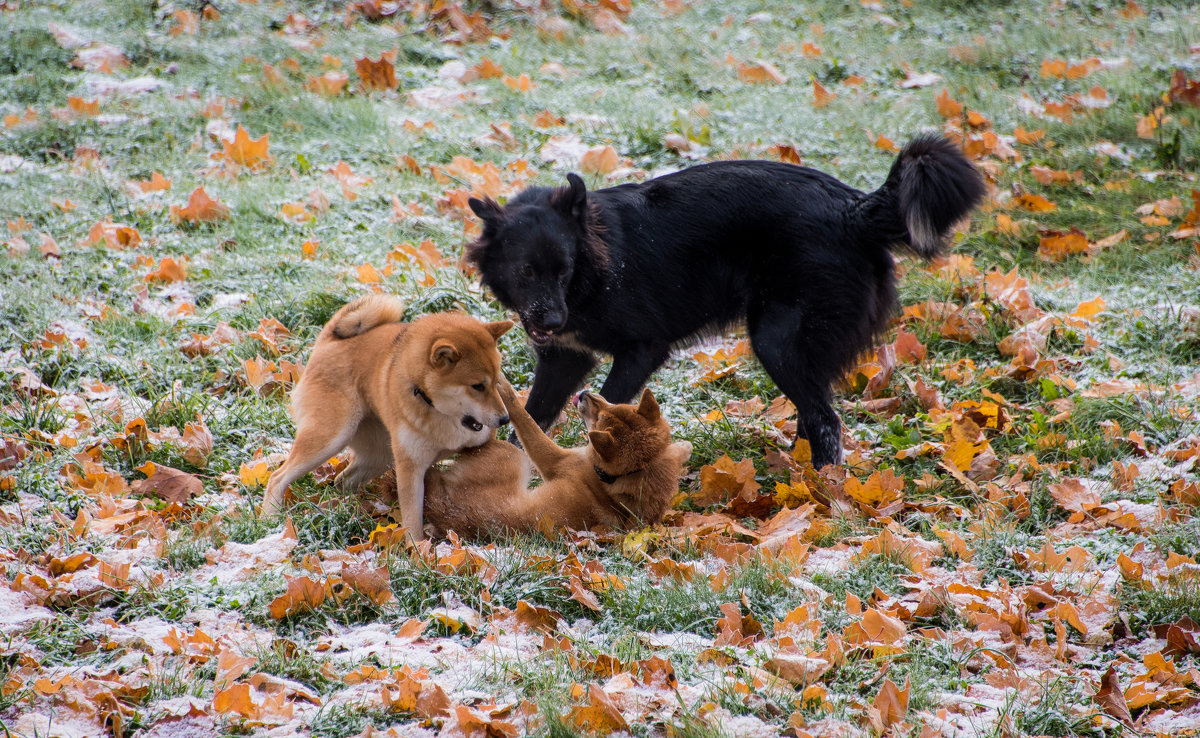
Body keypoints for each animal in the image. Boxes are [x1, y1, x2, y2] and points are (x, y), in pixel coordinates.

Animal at [265, 294, 513, 542]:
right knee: (277, 478)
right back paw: (272, 520)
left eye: (496, 380)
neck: (441, 414)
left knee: (343, 480)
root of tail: (329, 340)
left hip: (380, 454)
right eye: (477, 386)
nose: (505, 419)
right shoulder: (410, 468)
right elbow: (412, 519)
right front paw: (417, 549)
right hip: (330, 438)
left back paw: (347, 508)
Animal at [424, 379, 691, 540]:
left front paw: (503, 387)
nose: (584, 393)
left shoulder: (553, 459)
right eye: (615, 404)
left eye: (598, 420)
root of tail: (446, 513)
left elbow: (524, 419)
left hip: (512, 455)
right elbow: (681, 448)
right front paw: (682, 447)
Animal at [468, 138, 984, 468]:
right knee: (814, 414)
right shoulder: (563, 358)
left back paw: (819, 489)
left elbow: (607, 405)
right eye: (526, 272)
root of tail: (853, 210)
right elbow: (531, 419)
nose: (552, 319)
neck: (592, 274)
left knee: (825, 419)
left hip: (777, 337)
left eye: (565, 269)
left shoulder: (642, 349)